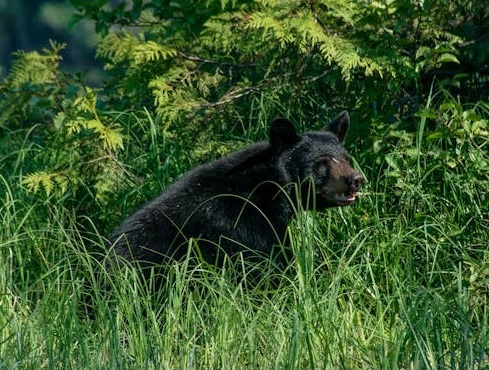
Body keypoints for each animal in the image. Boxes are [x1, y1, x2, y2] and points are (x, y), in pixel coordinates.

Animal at [108, 111, 364, 276]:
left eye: (346, 158)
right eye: (321, 162)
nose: (356, 180)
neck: (267, 188)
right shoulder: (243, 224)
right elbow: (267, 266)